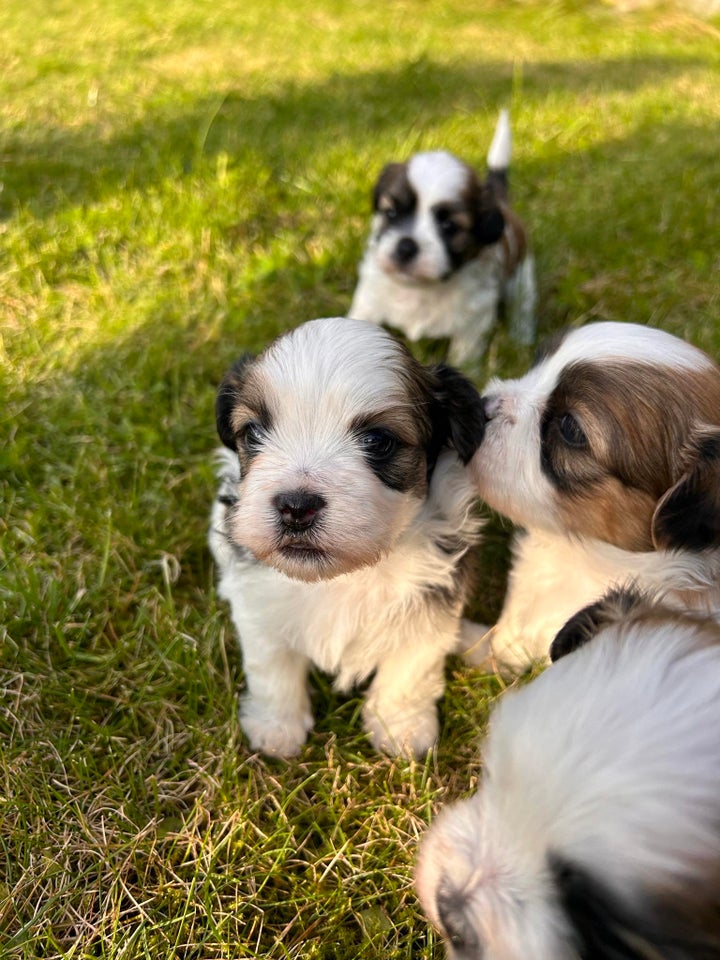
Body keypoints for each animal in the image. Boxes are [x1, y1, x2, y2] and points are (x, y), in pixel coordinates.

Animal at [211, 316, 486, 756]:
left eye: (377, 441)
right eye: (253, 433)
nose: (295, 506)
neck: (341, 576)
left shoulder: (433, 600)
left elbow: (410, 667)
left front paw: (400, 729)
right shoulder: (258, 603)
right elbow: (271, 666)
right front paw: (277, 727)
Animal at [348, 110, 536, 366]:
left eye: (449, 226)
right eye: (391, 212)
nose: (406, 247)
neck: (419, 289)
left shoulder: (473, 322)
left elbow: (463, 357)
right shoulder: (368, 302)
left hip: (521, 275)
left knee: (522, 304)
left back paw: (521, 338)